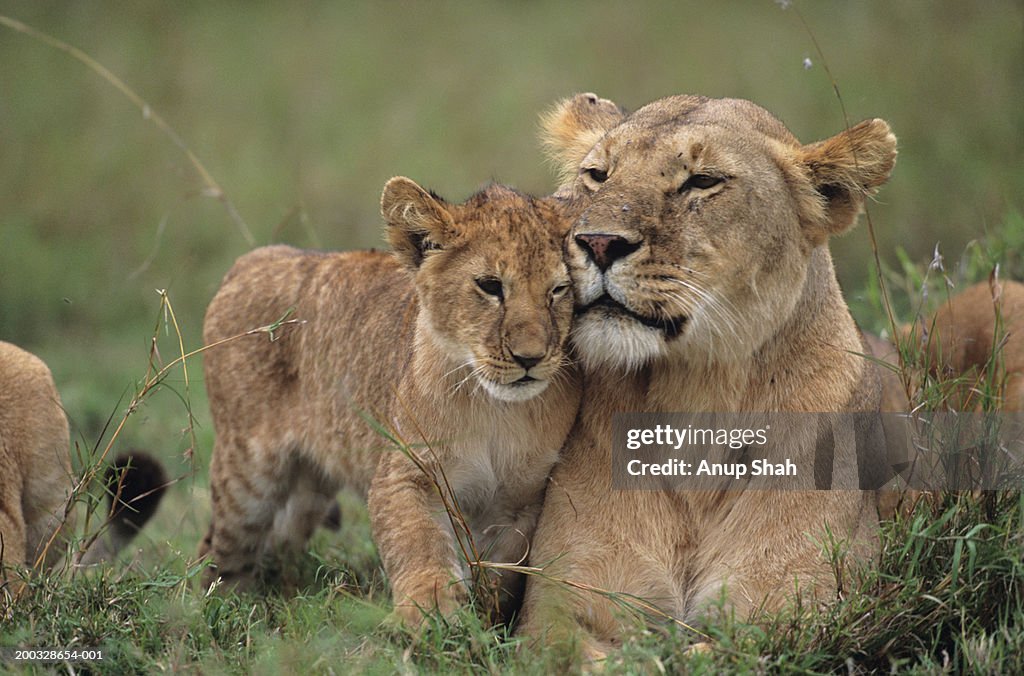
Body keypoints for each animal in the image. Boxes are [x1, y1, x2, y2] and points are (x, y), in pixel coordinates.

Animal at [199, 178, 581, 625]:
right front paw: (431, 612)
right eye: (490, 285)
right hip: (246, 475)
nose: (530, 358)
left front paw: (483, 619)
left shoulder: (521, 502)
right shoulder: (406, 472)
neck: (496, 408)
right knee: (218, 549)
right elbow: (419, 543)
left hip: (309, 489)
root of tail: (252, 260)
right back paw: (211, 610)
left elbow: (499, 572)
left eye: (558, 290)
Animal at [516, 93, 897, 658]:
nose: (598, 242)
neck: (695, 396)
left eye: (701, 181)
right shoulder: (558, 608)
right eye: (597, 175)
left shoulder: (799, 609)